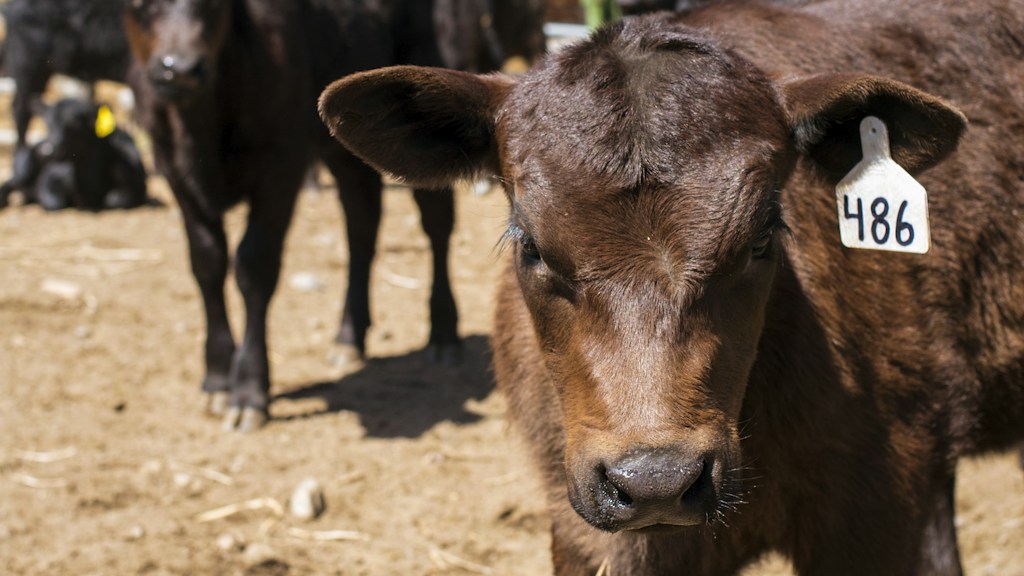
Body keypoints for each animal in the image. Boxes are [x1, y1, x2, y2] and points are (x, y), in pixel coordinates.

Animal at [0, 98, 148, 211]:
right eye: (48, 124)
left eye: (75, 124)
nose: (47, 151)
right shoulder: (51, 178)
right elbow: (54, 203)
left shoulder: (137, 188)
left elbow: (113, 200)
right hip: (24, 170)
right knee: (9, 183)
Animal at [122, 0, 545, 431]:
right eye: (139, 6)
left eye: (213, 5)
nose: (179, 68)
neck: (202, 125)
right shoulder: (174, 170)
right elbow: (207, 265)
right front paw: (217, 378)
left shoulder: (281, 164)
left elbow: (254, 267)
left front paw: (249, 391)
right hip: (349, 147)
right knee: (362, 225)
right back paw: (349, 336)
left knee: (436, 225)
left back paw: (443, 334)